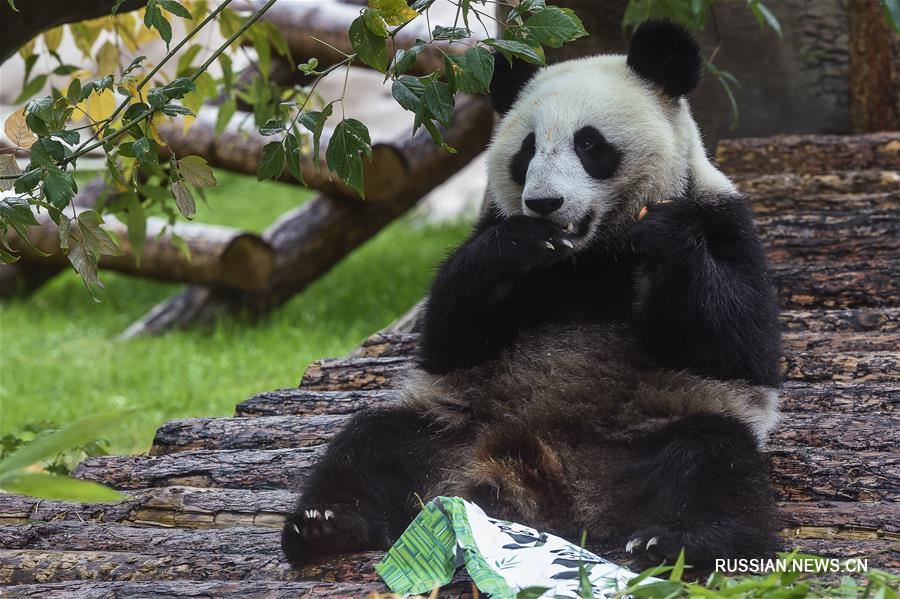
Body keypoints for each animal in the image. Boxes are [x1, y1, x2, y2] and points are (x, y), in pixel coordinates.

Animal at [282, 19, 780, 572]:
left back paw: (680, 541)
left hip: (652, 431)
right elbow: (449, 339)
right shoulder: (493, 228)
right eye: (527, 151)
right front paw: (516, 246)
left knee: (712, 462)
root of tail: (542, 478)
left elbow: (741, 345)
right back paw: (325, 524)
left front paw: (665, 240)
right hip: (453, 422)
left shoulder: (722, 218)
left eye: (590, 144)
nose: (545, 203)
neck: (591, 253)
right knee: (372, 442)